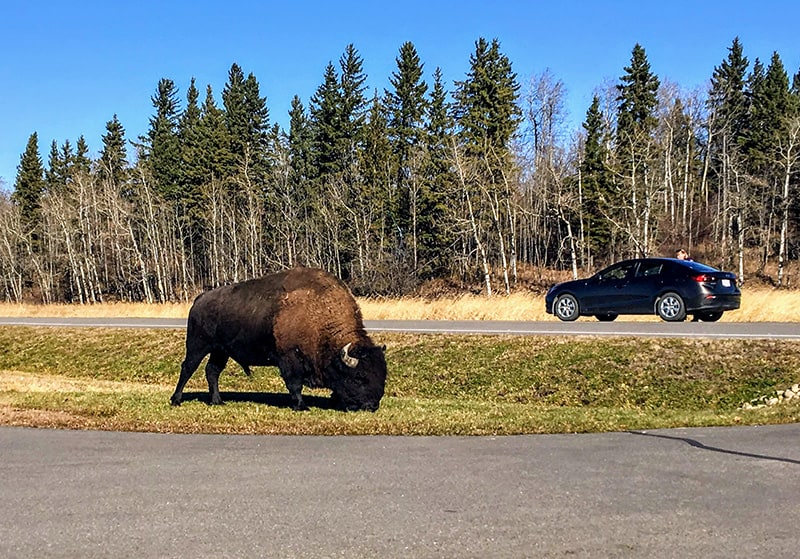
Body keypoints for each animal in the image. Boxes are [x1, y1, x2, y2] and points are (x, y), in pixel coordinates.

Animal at [170, 270, 390, 414]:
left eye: (382, 376)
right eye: (358, 378)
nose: (372, 406)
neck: (318, 314)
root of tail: (200, 299)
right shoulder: (289, 359)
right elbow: (294, 384)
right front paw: (301, 406)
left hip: (220, 351)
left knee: (212, 371)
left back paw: (217, 402)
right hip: (197, 346)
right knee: (188, 368)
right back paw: (176, 400)